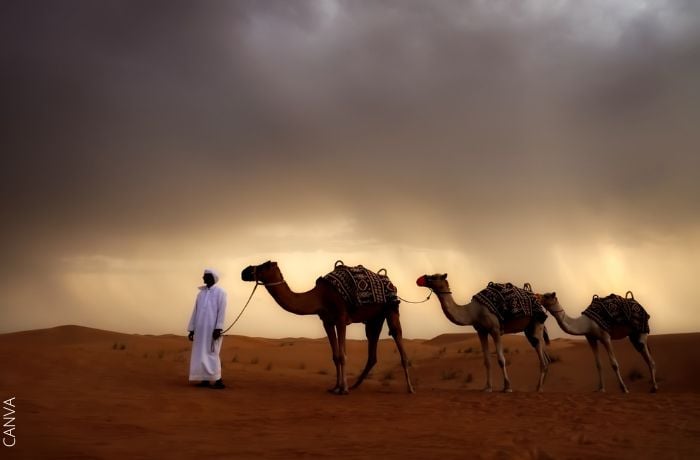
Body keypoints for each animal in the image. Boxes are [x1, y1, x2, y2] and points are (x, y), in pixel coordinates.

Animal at [242, 260, 412, 394]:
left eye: (264, 265)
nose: (245, 271)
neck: (320, 297)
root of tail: (390, 282)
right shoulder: (327, 321)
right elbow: (335, 356)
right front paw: (336, 387)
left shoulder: (341, 318)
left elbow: (342, 355)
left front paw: (343, 389)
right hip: (374, 319)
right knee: (372, 350)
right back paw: (356, 384)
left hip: (391, 309)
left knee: (397, 335)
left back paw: (410, 388)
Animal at [416, 274, 552, 392]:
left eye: (434, 277)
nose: (419, 279)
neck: (473, 312)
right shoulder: (481, 331)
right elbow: (487, 361)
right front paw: (487, 387)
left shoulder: (495, 329)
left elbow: (501, 359)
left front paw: (507, 387)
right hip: (528, 330)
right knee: (543, 354)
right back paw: (539, 387)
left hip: (537, 323)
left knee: (542, 356)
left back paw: (539, 388)